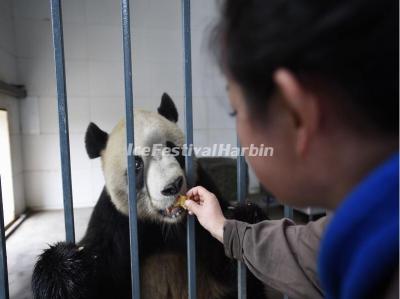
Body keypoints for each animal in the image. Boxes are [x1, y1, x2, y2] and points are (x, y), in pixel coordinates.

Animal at [32, 94, 268, 299]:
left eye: (173, 149)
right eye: (137, 164)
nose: (173, 186)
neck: (163, 225)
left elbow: (229, 266)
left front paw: (245, 217)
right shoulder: (115, 221)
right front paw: (66, 266)